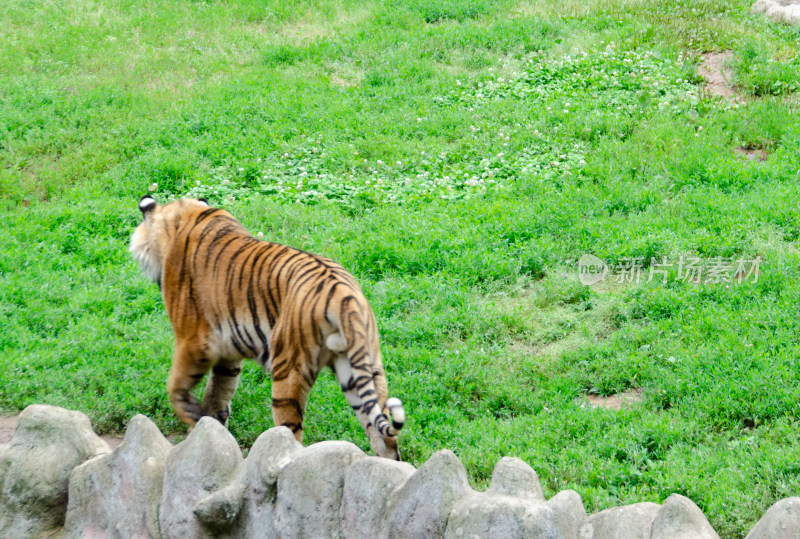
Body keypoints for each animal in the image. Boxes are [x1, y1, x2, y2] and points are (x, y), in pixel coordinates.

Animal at [133, 196, 406, 462]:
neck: (185, 215)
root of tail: (343, 293)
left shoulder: (192, 340)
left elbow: (176, 385)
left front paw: (193, 420)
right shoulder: (228, 355)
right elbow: (217, 395)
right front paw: (208, 433)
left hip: (288, 370)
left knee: (291, 434)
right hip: (362, 369)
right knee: (385, 436)